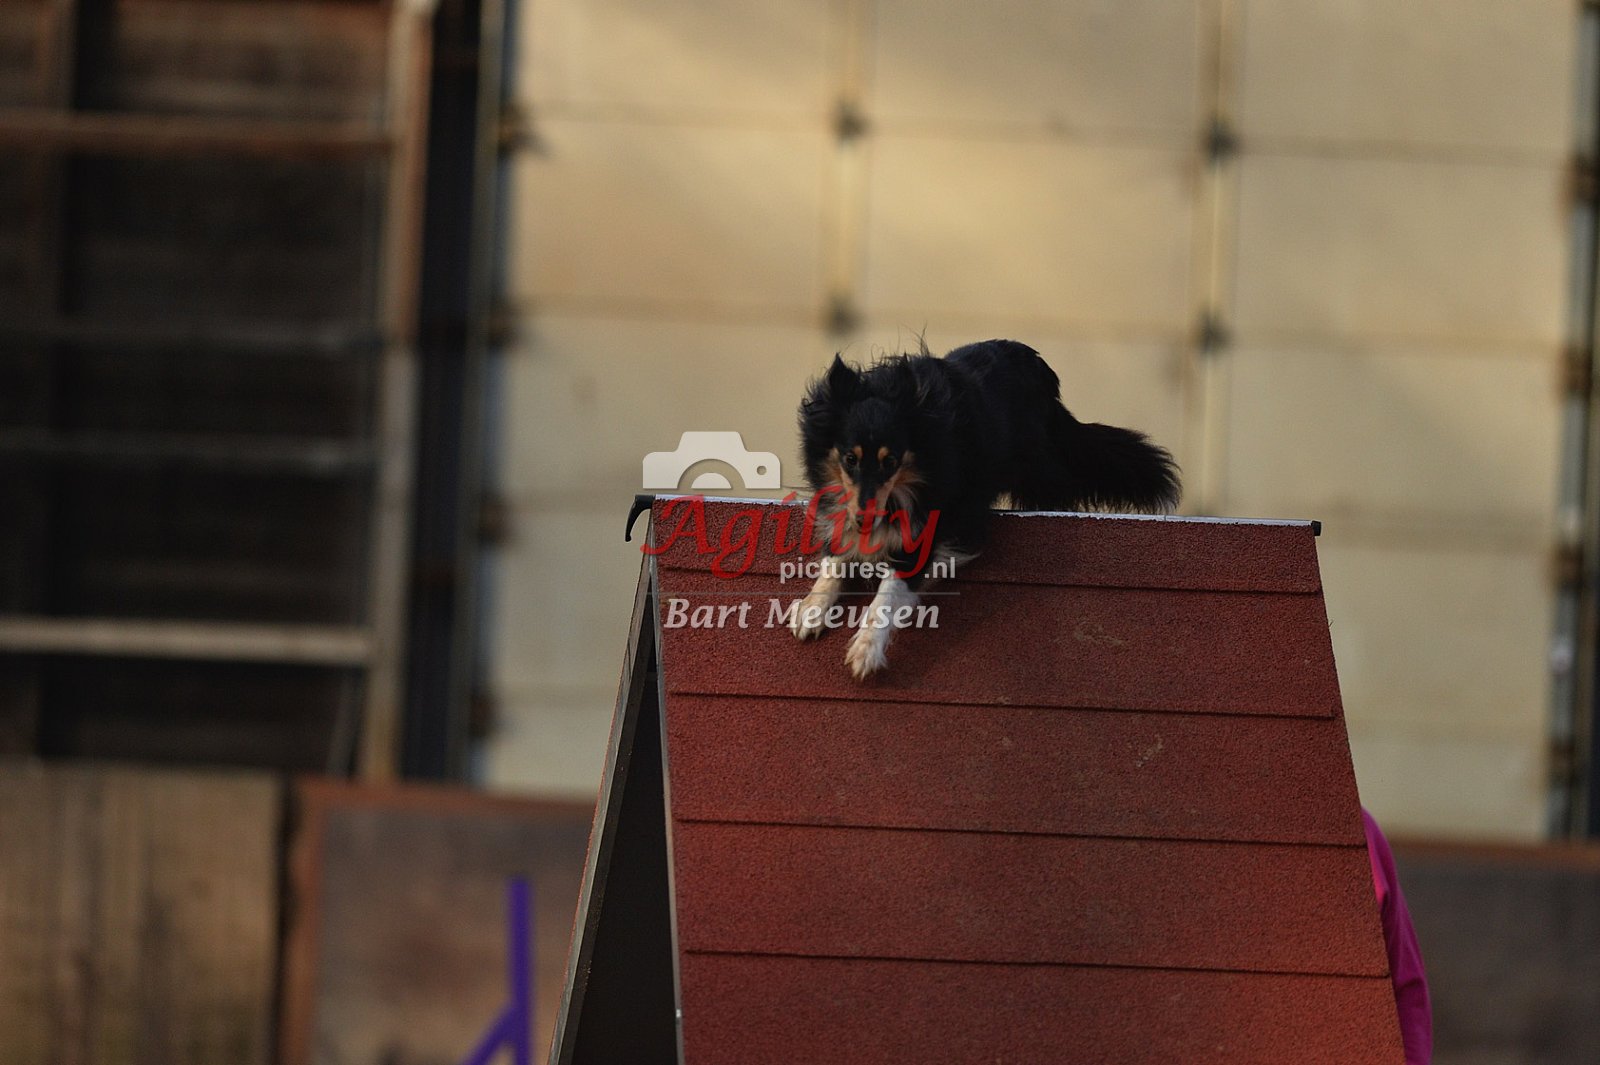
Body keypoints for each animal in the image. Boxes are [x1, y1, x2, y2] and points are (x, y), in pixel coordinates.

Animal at [790, 338, 1180, 679]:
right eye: (849, 458)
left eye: (891, 461)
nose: (864, 520)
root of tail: (1041, 369)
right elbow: (834, 559)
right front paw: (810, 611)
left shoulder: (928, 526)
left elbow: (887, 595)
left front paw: (865, 652)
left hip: (1038, 466)